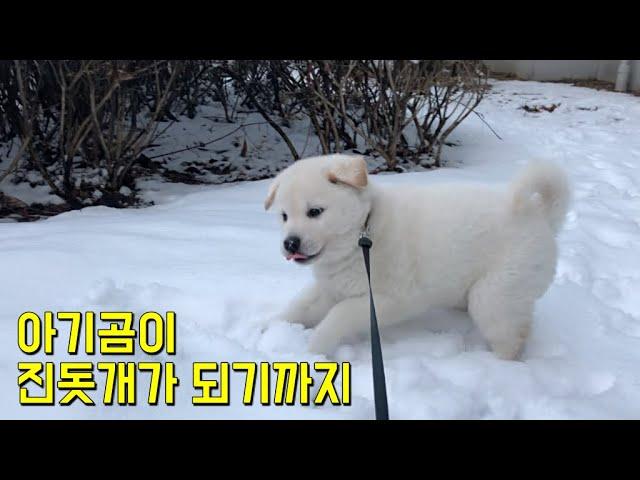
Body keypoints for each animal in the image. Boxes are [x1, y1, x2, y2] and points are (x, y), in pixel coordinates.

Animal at [264, 154, 568, 360]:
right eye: (284, 216)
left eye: (315, 212)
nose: (290, 243)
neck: (363, 232)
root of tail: (538, 215)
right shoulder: (331, 288)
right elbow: (299, 307)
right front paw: (269, 329)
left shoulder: (388, 299)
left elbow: (339, 315)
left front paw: (313, 351)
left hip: (495, 296)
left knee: (511, 338)